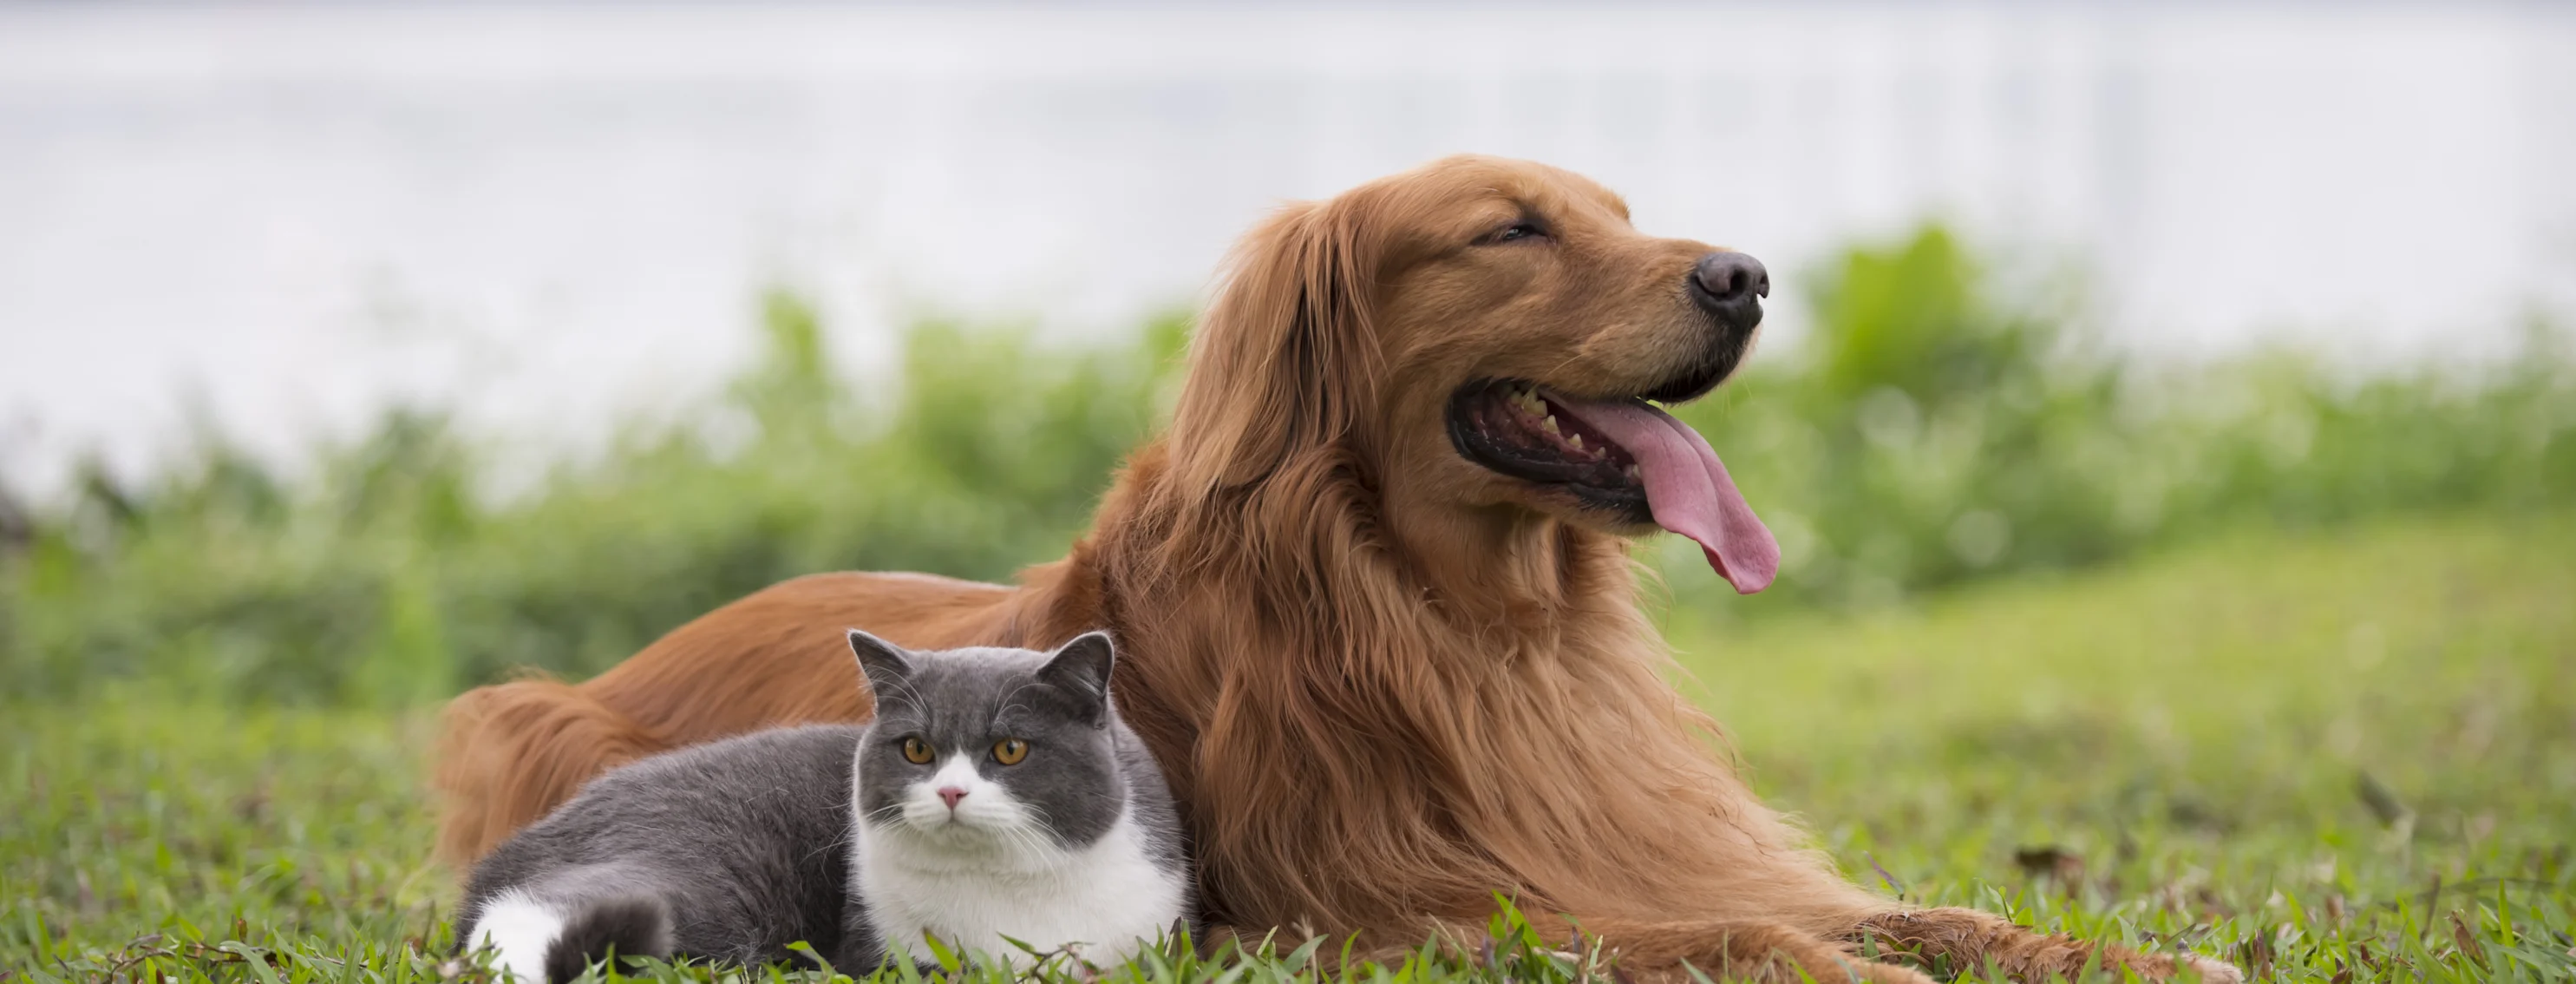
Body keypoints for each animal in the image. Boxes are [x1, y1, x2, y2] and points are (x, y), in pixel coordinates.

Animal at [455, 631, 1195, 984]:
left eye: (1010, 749)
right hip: (699, 869)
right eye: (917, 749)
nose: (951, 792)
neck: (1008, 893)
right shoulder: (884, 952)